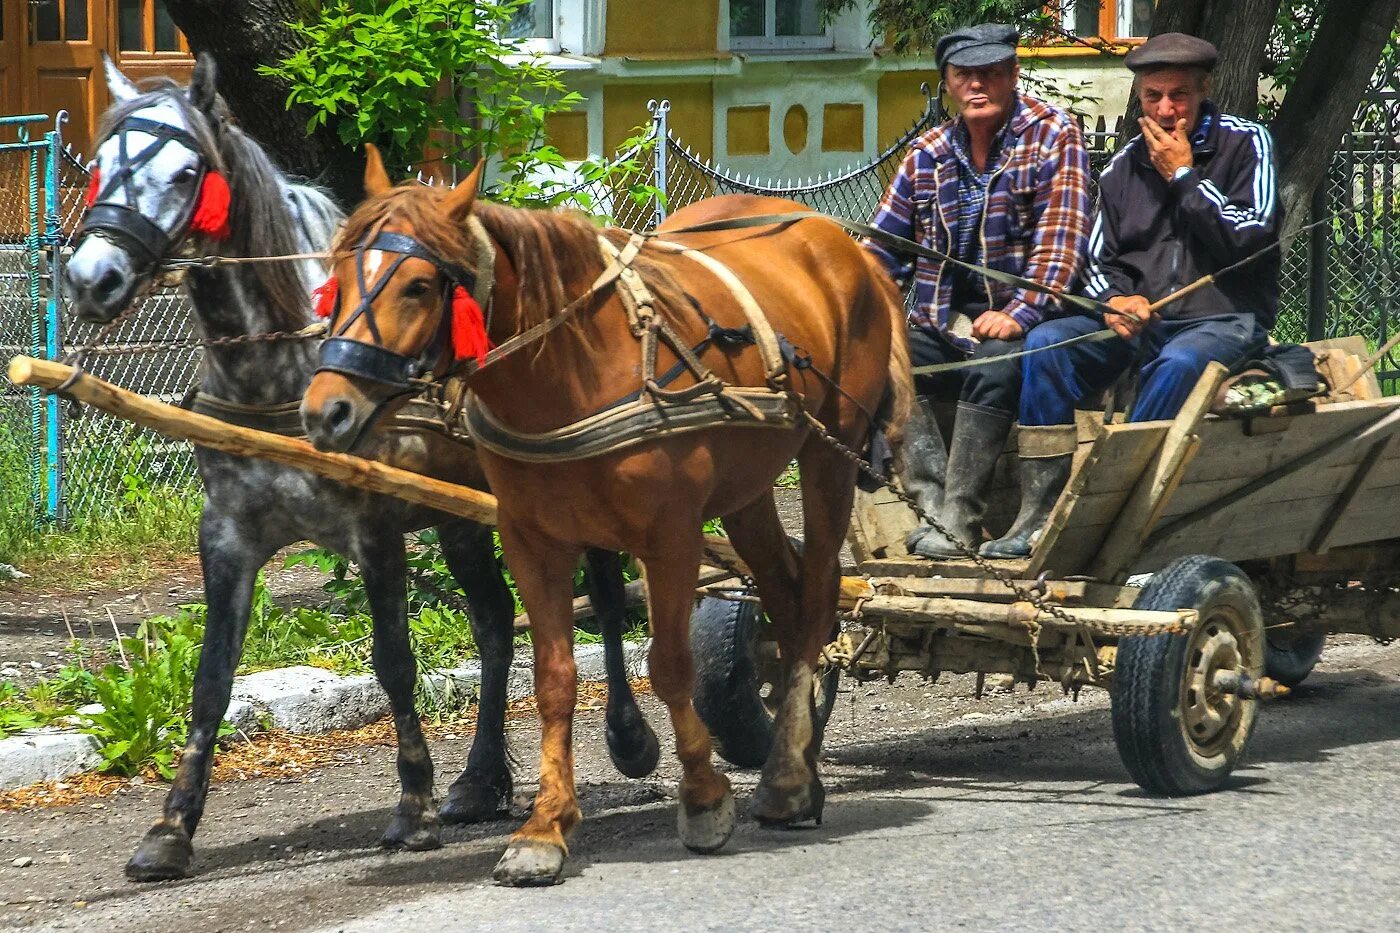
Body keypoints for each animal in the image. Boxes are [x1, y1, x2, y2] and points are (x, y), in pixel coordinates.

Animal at [63, 56, 658, 879]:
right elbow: (212, 679)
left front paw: (411, 805)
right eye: (98, 167)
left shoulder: (373, 529)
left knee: (598, 591)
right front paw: (172, 825)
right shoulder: (227, 536)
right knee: (494, 622)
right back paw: (479, 781)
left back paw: (629, 738)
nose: (92, 277)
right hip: (461, 514)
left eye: (186, 172)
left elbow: (394, 660)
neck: (280, 373)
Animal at [302, 149, 912, 885]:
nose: (326, 409)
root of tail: (841, 242)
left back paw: (790, 776)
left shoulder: (671, 538)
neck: (572, 369)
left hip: (829, 455)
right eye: (336, 279)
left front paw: (703, 798)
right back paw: (795, 770)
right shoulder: (532, 541)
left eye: (419, 286)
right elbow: (553, 680)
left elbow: (670, 664)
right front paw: (544, 826)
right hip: (748, 488)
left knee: (819, 591)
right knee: (786, 599)